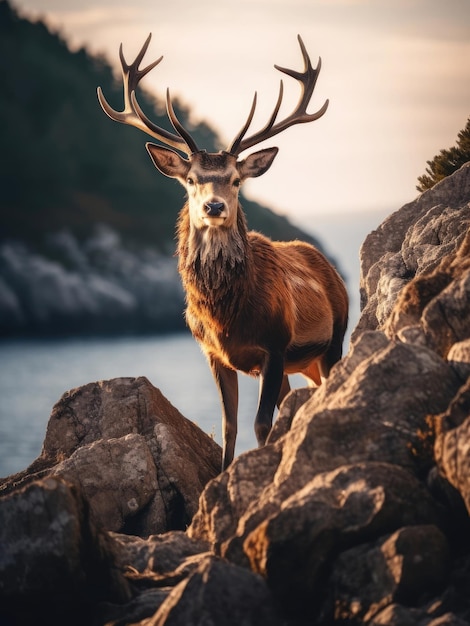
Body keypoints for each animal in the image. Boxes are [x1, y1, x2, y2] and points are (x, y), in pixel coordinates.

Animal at [98, 31, 348, 466]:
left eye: (235, 179)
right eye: (191, 179)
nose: (213, 207)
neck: (226, 316)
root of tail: (330, 267)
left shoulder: (275, 345)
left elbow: (261, 425)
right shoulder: (215, 354)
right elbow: (229, 428)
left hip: (334, 339)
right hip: (303, 363)